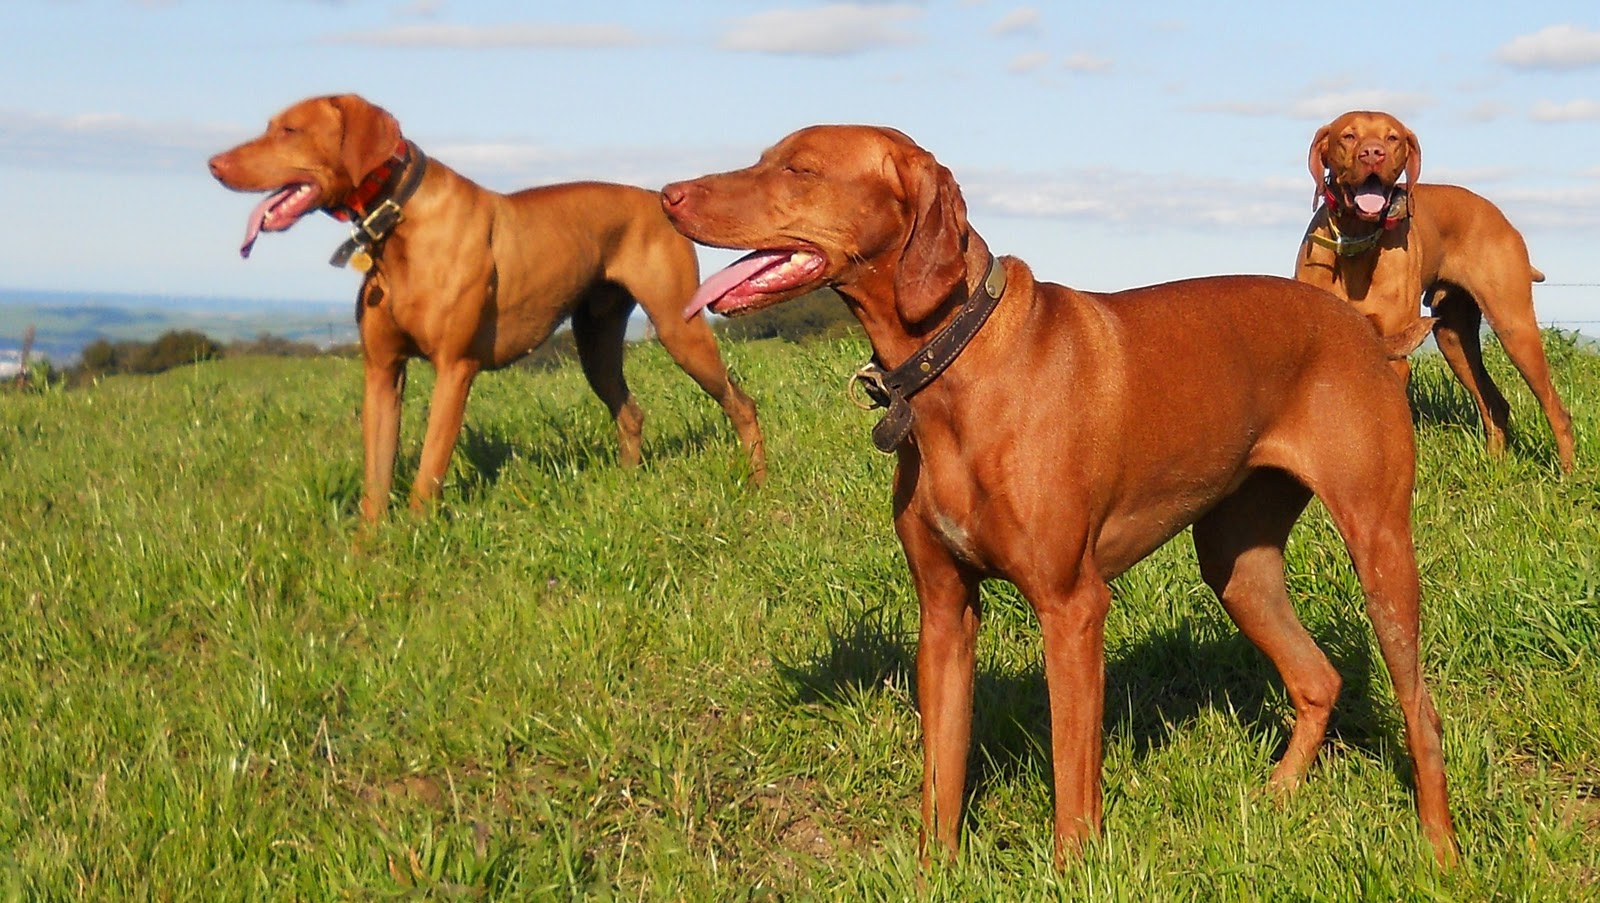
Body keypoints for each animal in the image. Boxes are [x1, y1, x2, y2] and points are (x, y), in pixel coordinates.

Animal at [208, 93, 768, 521]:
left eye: (290, 130)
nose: (213, 165)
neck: (399, 219)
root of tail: (657, 196)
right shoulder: (382, 372)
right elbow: (376, 480)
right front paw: (367, 552)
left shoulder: (455, 369)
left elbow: (428, 471)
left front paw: (415, 538)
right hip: (596, 345)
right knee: (630, 413)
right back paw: (628, 486)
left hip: (679, 328)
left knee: (740, 402)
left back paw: (757, 479)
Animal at [656, 123, 1459, 864]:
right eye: (764, 158)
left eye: (800, 169)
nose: (667, 195)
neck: (958, 363)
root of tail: (1363, 329)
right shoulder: (944, 611)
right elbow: (942, 774)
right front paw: (933, 873)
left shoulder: (1072, 606)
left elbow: (1073, 779)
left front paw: (1073, 869)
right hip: (1238, 564)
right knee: (1318, 677)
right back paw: (1275, 797)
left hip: (1380, 550)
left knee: (1420, 708)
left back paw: (1440, 846)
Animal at [1299, 111, 1574, 473]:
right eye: (1348, 136)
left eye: (1392, 138)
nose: (1373, 154)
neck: (1355, 242)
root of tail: (1496, 213)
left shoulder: (1394, 356)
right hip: (1453, 338)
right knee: (1494, 403)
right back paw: (1494, 466)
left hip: (1514, 328)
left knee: (1556, 409)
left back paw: (1569, 474)